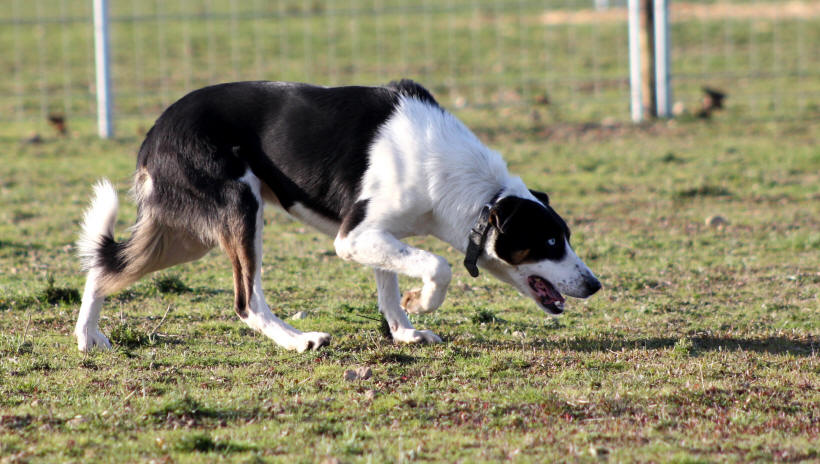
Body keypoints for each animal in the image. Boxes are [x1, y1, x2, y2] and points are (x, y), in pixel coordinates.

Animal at [75, 81, 604, 354]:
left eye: (567, 237)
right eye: (550, 243)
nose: (595, 284)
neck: (475, 192)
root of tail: (154, 134)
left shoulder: (380, 235)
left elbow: (389, 288)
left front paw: (405, 331)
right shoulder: (353, 237)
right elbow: (437, 265)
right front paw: (423, 300)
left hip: (189, 236)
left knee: (105, 268)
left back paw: (87, 336)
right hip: (240, 209)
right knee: (247, 301)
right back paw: (297, 341)